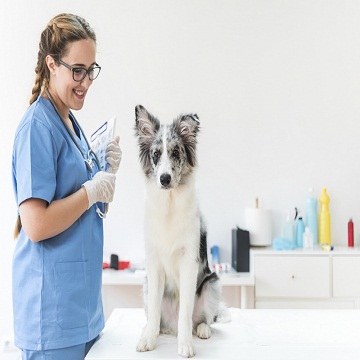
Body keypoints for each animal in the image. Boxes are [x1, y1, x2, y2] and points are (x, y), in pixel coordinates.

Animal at [134, 104, 229, 358]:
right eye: (156, 154)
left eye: (176, 152)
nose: (165, 179)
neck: (170, 203)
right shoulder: (154, 264)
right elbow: (154, 309)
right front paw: (148, 340)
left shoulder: (189, 262)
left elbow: (185, 313)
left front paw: (185, 345)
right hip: (146, 285)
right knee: (157, 317)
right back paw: (155, 330)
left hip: (212, 284)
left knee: (204, 318)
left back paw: (202, 329)